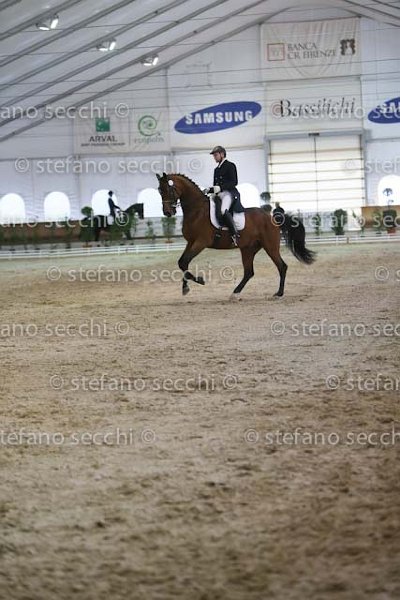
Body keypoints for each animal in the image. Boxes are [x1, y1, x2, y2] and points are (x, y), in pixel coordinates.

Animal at [156, 172, 315, 298]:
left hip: (270, 247)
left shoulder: (201, 242)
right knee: (249, 272)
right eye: (159, 191)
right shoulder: (191, 242)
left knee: (282, 267)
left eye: (168, 189)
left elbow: (184, 262)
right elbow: (182, 262)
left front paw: (200, 280)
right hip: (248, 249)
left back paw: (279, 293)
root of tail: (273, 218)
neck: (197, 210)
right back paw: (235, 293)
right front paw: (186, 287)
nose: (168, 212)